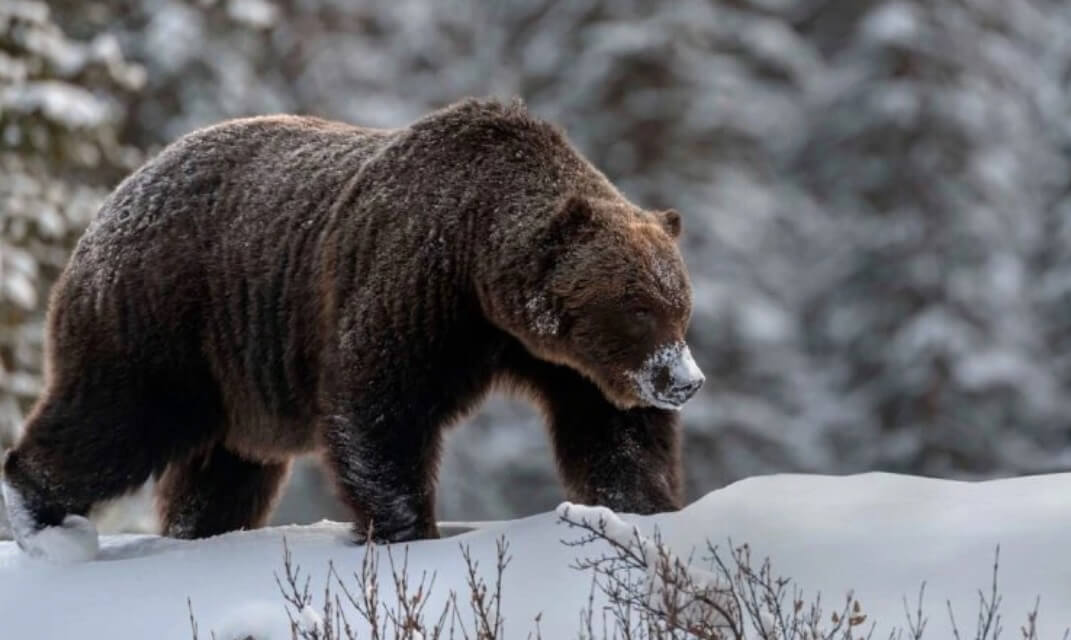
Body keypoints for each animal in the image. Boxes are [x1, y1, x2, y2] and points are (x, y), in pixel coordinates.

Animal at [2, 96, 702, 560]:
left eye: (681, 305)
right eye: (637, 305)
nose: (685, 380)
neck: (477, 268)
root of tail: (112, 200)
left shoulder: (562, 362)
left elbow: (613, 433)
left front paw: (644, 510)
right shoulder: (413, 289)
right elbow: (378, 409)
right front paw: (406, 531)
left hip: (233, 376)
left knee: (224, 473)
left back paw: (202, 533)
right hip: (162, 319)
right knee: (112, 420)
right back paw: (39, 518)